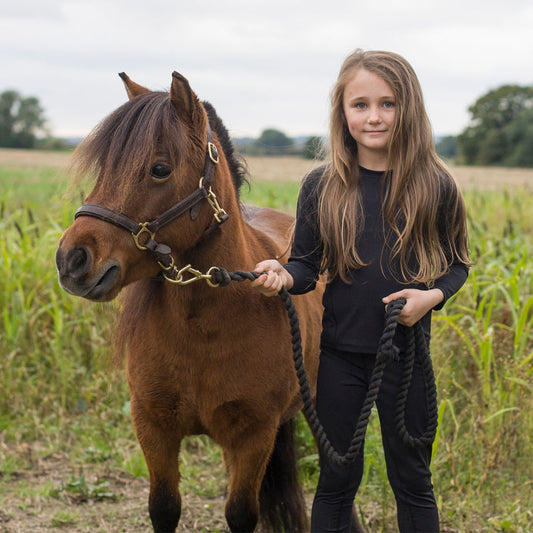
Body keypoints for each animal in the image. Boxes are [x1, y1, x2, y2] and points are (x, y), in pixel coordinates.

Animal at [57, 71, 366, 532]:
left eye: (160, 169)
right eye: (105, 167)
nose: (71, 260)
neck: (203, 326)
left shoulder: (253, 435)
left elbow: (241, 514)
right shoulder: (153, 428)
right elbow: (164, 508)